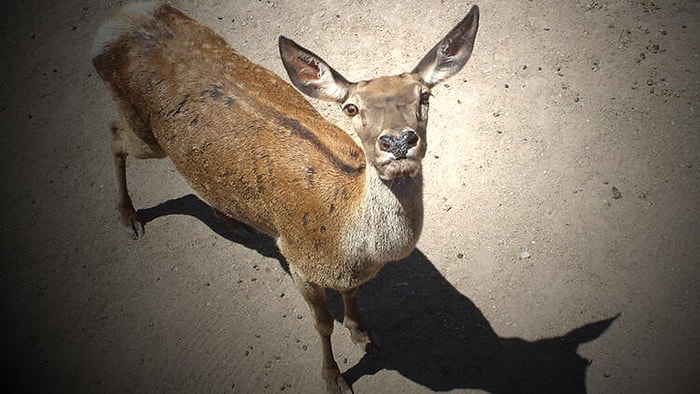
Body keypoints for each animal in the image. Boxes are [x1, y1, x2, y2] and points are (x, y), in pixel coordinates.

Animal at [90, 2, 478, 390]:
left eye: (425, 96)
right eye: (351, 108)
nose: (398, 141)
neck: (347, 241)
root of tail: (118, 20)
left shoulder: (343, 273)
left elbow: (351, 294)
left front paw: (364, 334)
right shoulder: (295, 258)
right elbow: (322, 324)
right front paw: (334, 378)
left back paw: (228, 218)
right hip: (145, 134)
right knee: (113, 133)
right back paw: (129, 217)